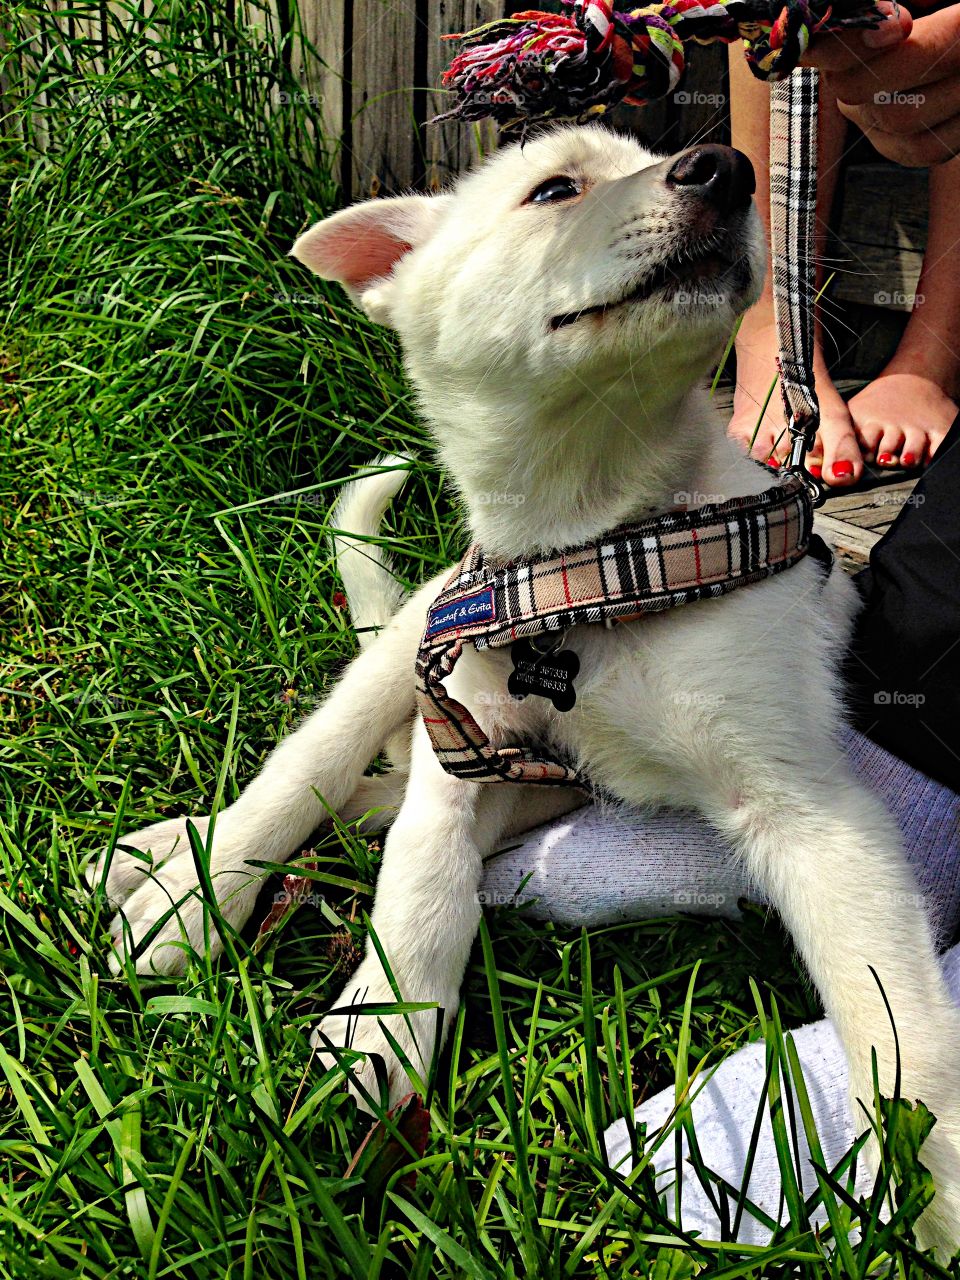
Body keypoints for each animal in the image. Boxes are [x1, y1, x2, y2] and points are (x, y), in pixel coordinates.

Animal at [90, 127, 960, 1249]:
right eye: (554, 191)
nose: (727, 167)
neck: (595, 551)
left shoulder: (805, 803)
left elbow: (901, 1017)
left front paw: (937, 1181)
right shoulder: (458, 735)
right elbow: (421, 874)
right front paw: (381, 1035)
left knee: (372, 793)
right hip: (418, 631)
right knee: (311, 765)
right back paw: (189, 883)